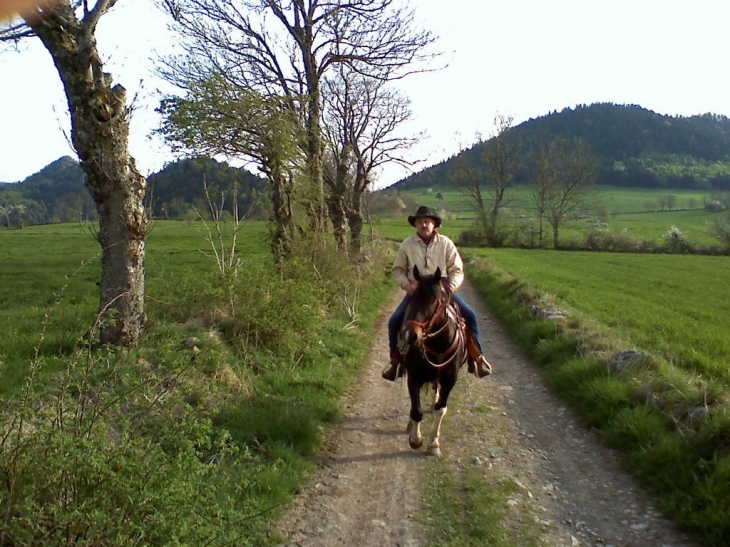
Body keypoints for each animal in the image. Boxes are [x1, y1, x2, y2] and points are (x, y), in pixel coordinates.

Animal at [396, 266, 464, 458]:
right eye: (411, 297)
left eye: (434, 301)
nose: (410, 335)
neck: (438, 345)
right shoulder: (414, 377)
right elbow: (416, 410)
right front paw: (415, 439)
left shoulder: (450, 380)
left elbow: (441, 409)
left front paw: (434, 444)